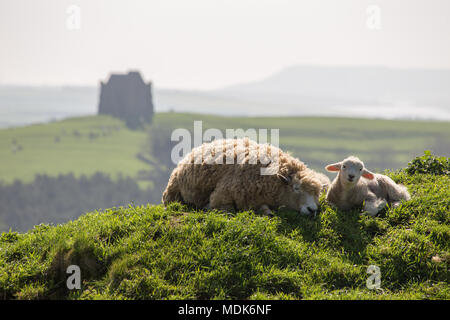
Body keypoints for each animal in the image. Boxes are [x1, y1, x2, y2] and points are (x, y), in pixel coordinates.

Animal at [161, 138, 326, 218]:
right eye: (296, 188)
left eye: (318, 194)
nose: (312, 210)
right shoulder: (221, 197)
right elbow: (224, 209)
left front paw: (266, 210)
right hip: (173, 194)